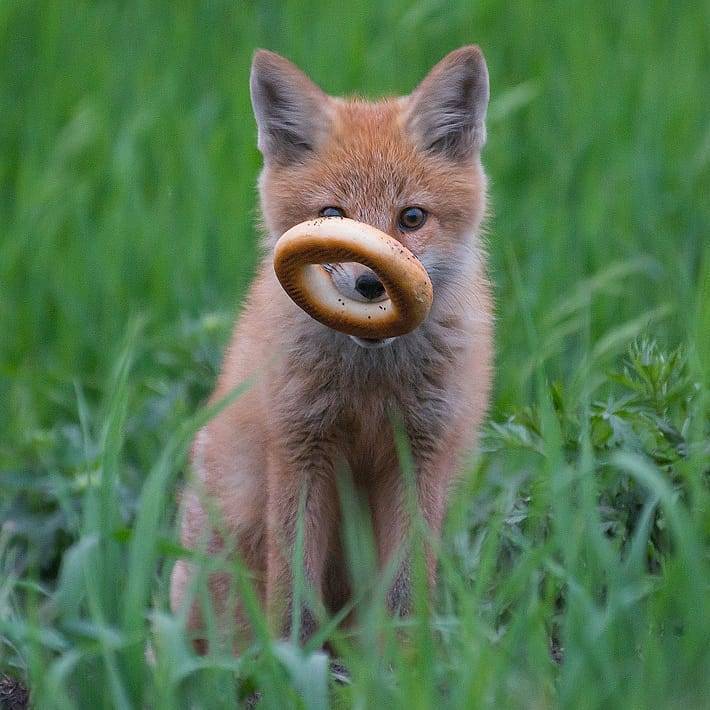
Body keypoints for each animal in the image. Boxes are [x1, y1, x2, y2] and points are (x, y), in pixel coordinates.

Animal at [172, 41, 496, 648]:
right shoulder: (300, 446)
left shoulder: (422, 453)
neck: (368, 387)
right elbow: (292, 592)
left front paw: (405, 662)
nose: (371, 283)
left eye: (411, 217)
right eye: (331, 216)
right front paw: (288, 663)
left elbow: (404, 592)